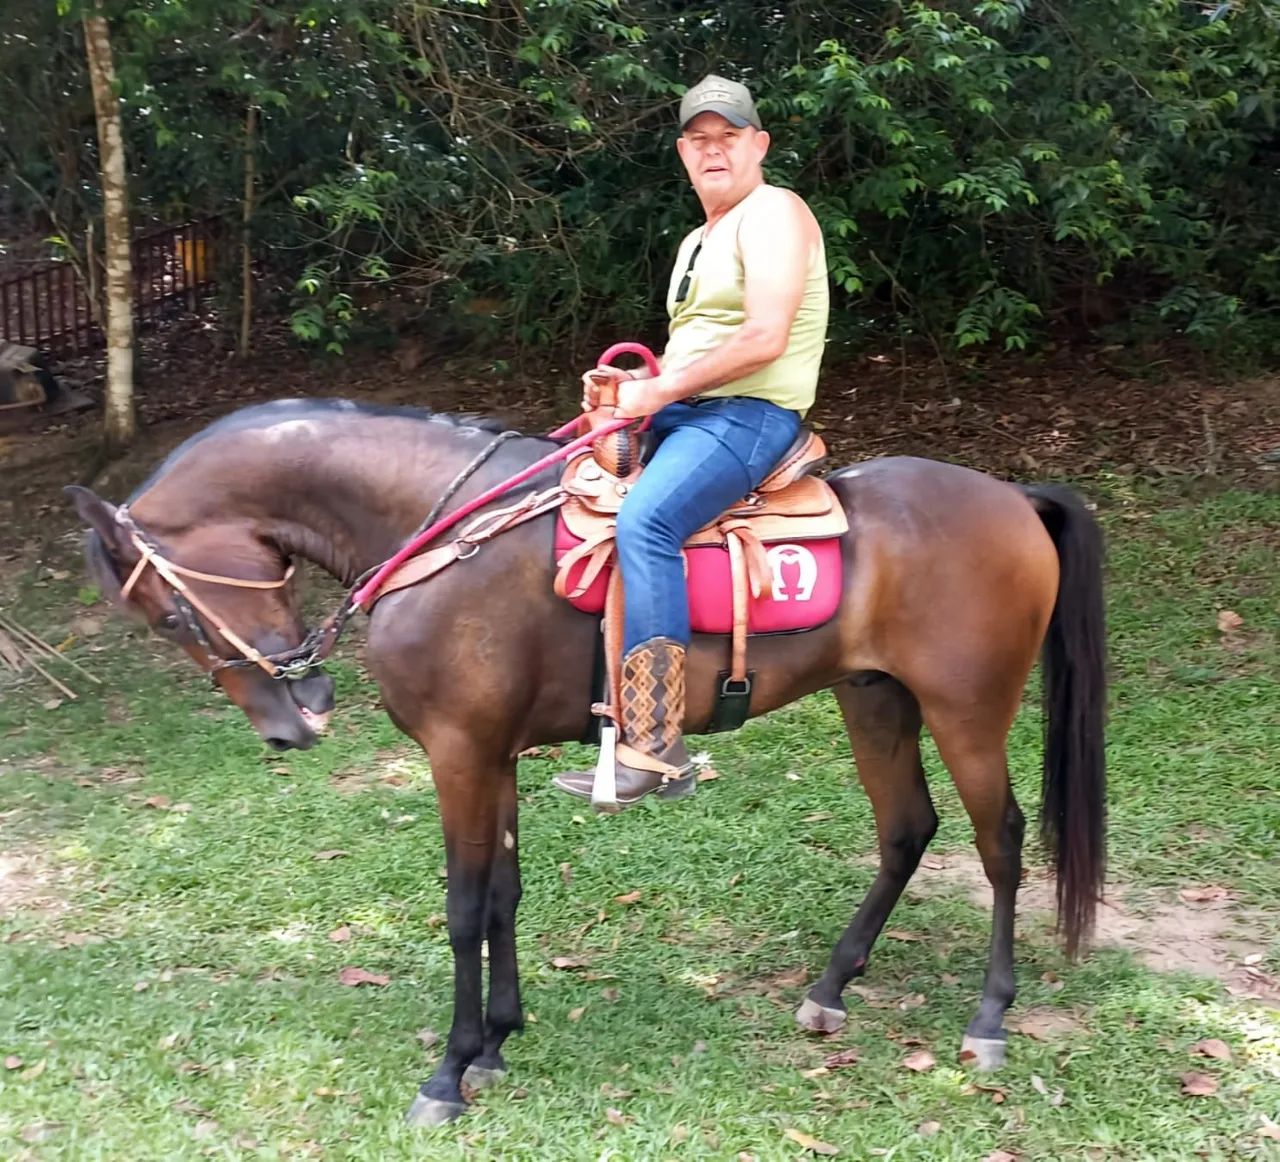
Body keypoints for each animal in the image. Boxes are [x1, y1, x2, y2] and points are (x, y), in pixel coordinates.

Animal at [66, 395, 1107, 1126]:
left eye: (166, 616)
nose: (294, 719)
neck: (443, 534)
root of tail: (1012, 497)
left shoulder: (458, 752)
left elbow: (460, 909)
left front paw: (449, 1072)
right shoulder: (492, 753)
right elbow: (502, 896)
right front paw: (496, 1041)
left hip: (966, 709)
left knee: (1001, 841)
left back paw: (988, 1019)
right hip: (875, 697)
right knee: (906, 831)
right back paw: (828, 990)